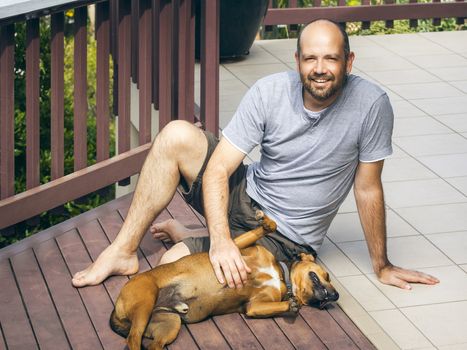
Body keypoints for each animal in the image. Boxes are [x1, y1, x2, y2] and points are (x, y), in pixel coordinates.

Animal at [110, 211, 340, 350]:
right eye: (326, 275)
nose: (335, 295)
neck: (280, 275)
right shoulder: (235, 247)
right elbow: (267, 228)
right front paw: (266, 222)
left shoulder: (254, 306)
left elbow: (279, 305)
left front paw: (292, 305)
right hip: (145, 302)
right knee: (133, 339)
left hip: (169, 324)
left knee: (150, 344)